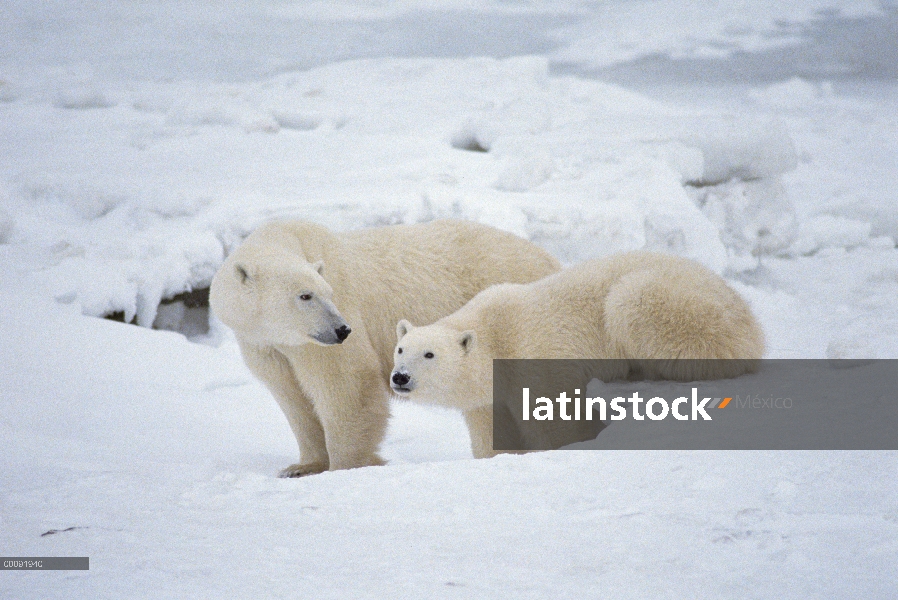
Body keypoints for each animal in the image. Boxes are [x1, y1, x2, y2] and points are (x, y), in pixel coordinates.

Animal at [210, 218, 560, 476]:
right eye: (305, 295)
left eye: (327, 292)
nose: (342, 329)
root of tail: (550, 258)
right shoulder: (266, 344)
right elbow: (292, 397)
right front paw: (301, 467)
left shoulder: (332, 324)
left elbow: (346, 385)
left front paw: (346, 467)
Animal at [390, 251, 764, 458]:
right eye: (400, 349)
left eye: (429, 354)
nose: (400, 377)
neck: (497, 331)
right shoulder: (490, 397)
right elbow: (494, 430)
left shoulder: (535, 358)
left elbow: (556, 418)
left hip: (683, 306)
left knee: (634, 303)